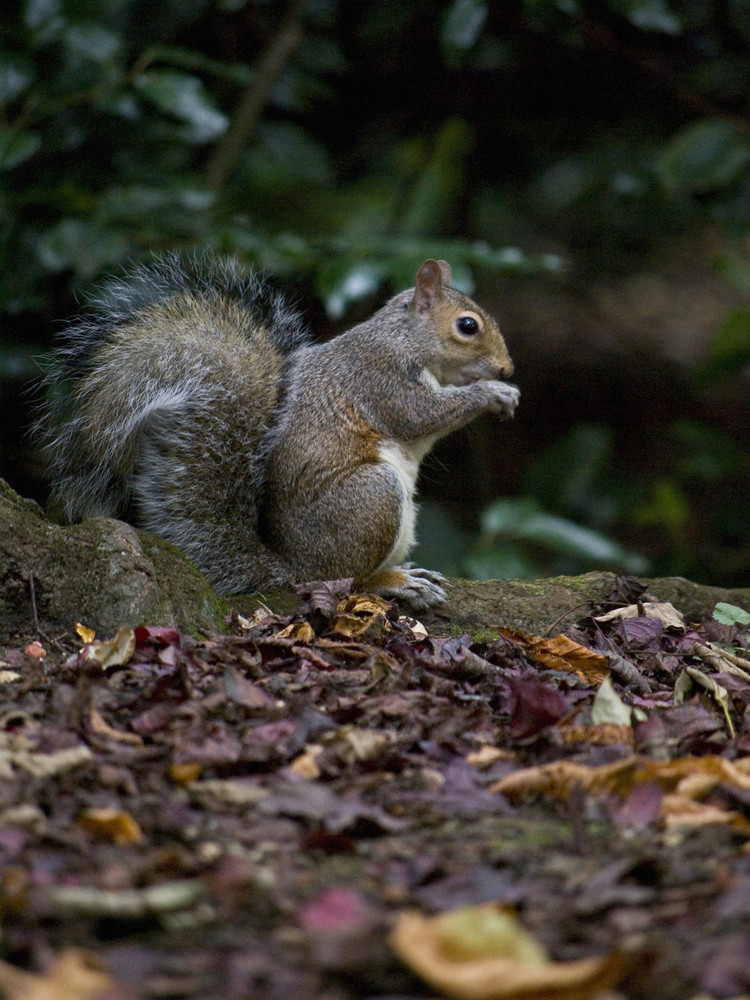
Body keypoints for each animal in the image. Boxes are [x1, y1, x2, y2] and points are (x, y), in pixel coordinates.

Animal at [41, 252, 520, 608]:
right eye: (467, 326)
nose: (506, 369)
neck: (404, 337)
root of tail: (292, 567)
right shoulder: (381, 377)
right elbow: (420, 415)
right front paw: (492, 393)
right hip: (373, 497)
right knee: (347, 580)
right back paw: (395, 582)